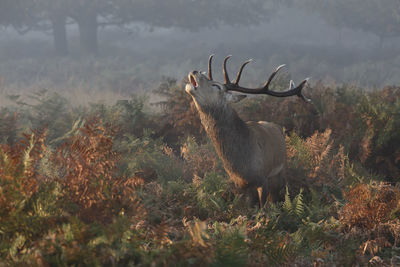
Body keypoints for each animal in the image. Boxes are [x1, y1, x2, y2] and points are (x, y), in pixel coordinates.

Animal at [184, 55, 310, 204]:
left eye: (216, 85)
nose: (194, 71)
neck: (242, 165)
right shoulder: (238, 185)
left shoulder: (263, 179)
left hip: (281, 172)